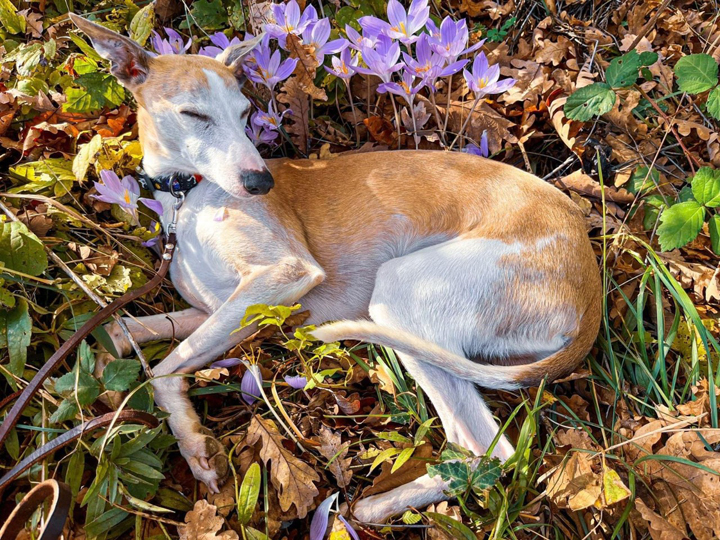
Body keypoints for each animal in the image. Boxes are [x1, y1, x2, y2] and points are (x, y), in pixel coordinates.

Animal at [70, 14, 600, 524]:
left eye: (243, 114)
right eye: (194, 114)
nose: (260, 183)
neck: (190, 196)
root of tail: (590, 288)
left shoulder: (284, 274)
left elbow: (161, 371)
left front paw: (195, 445)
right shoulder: (216, 308)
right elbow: (124, 332)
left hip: (399, 296)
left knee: (481, 446)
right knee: (486, 451)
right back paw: (381, 508)